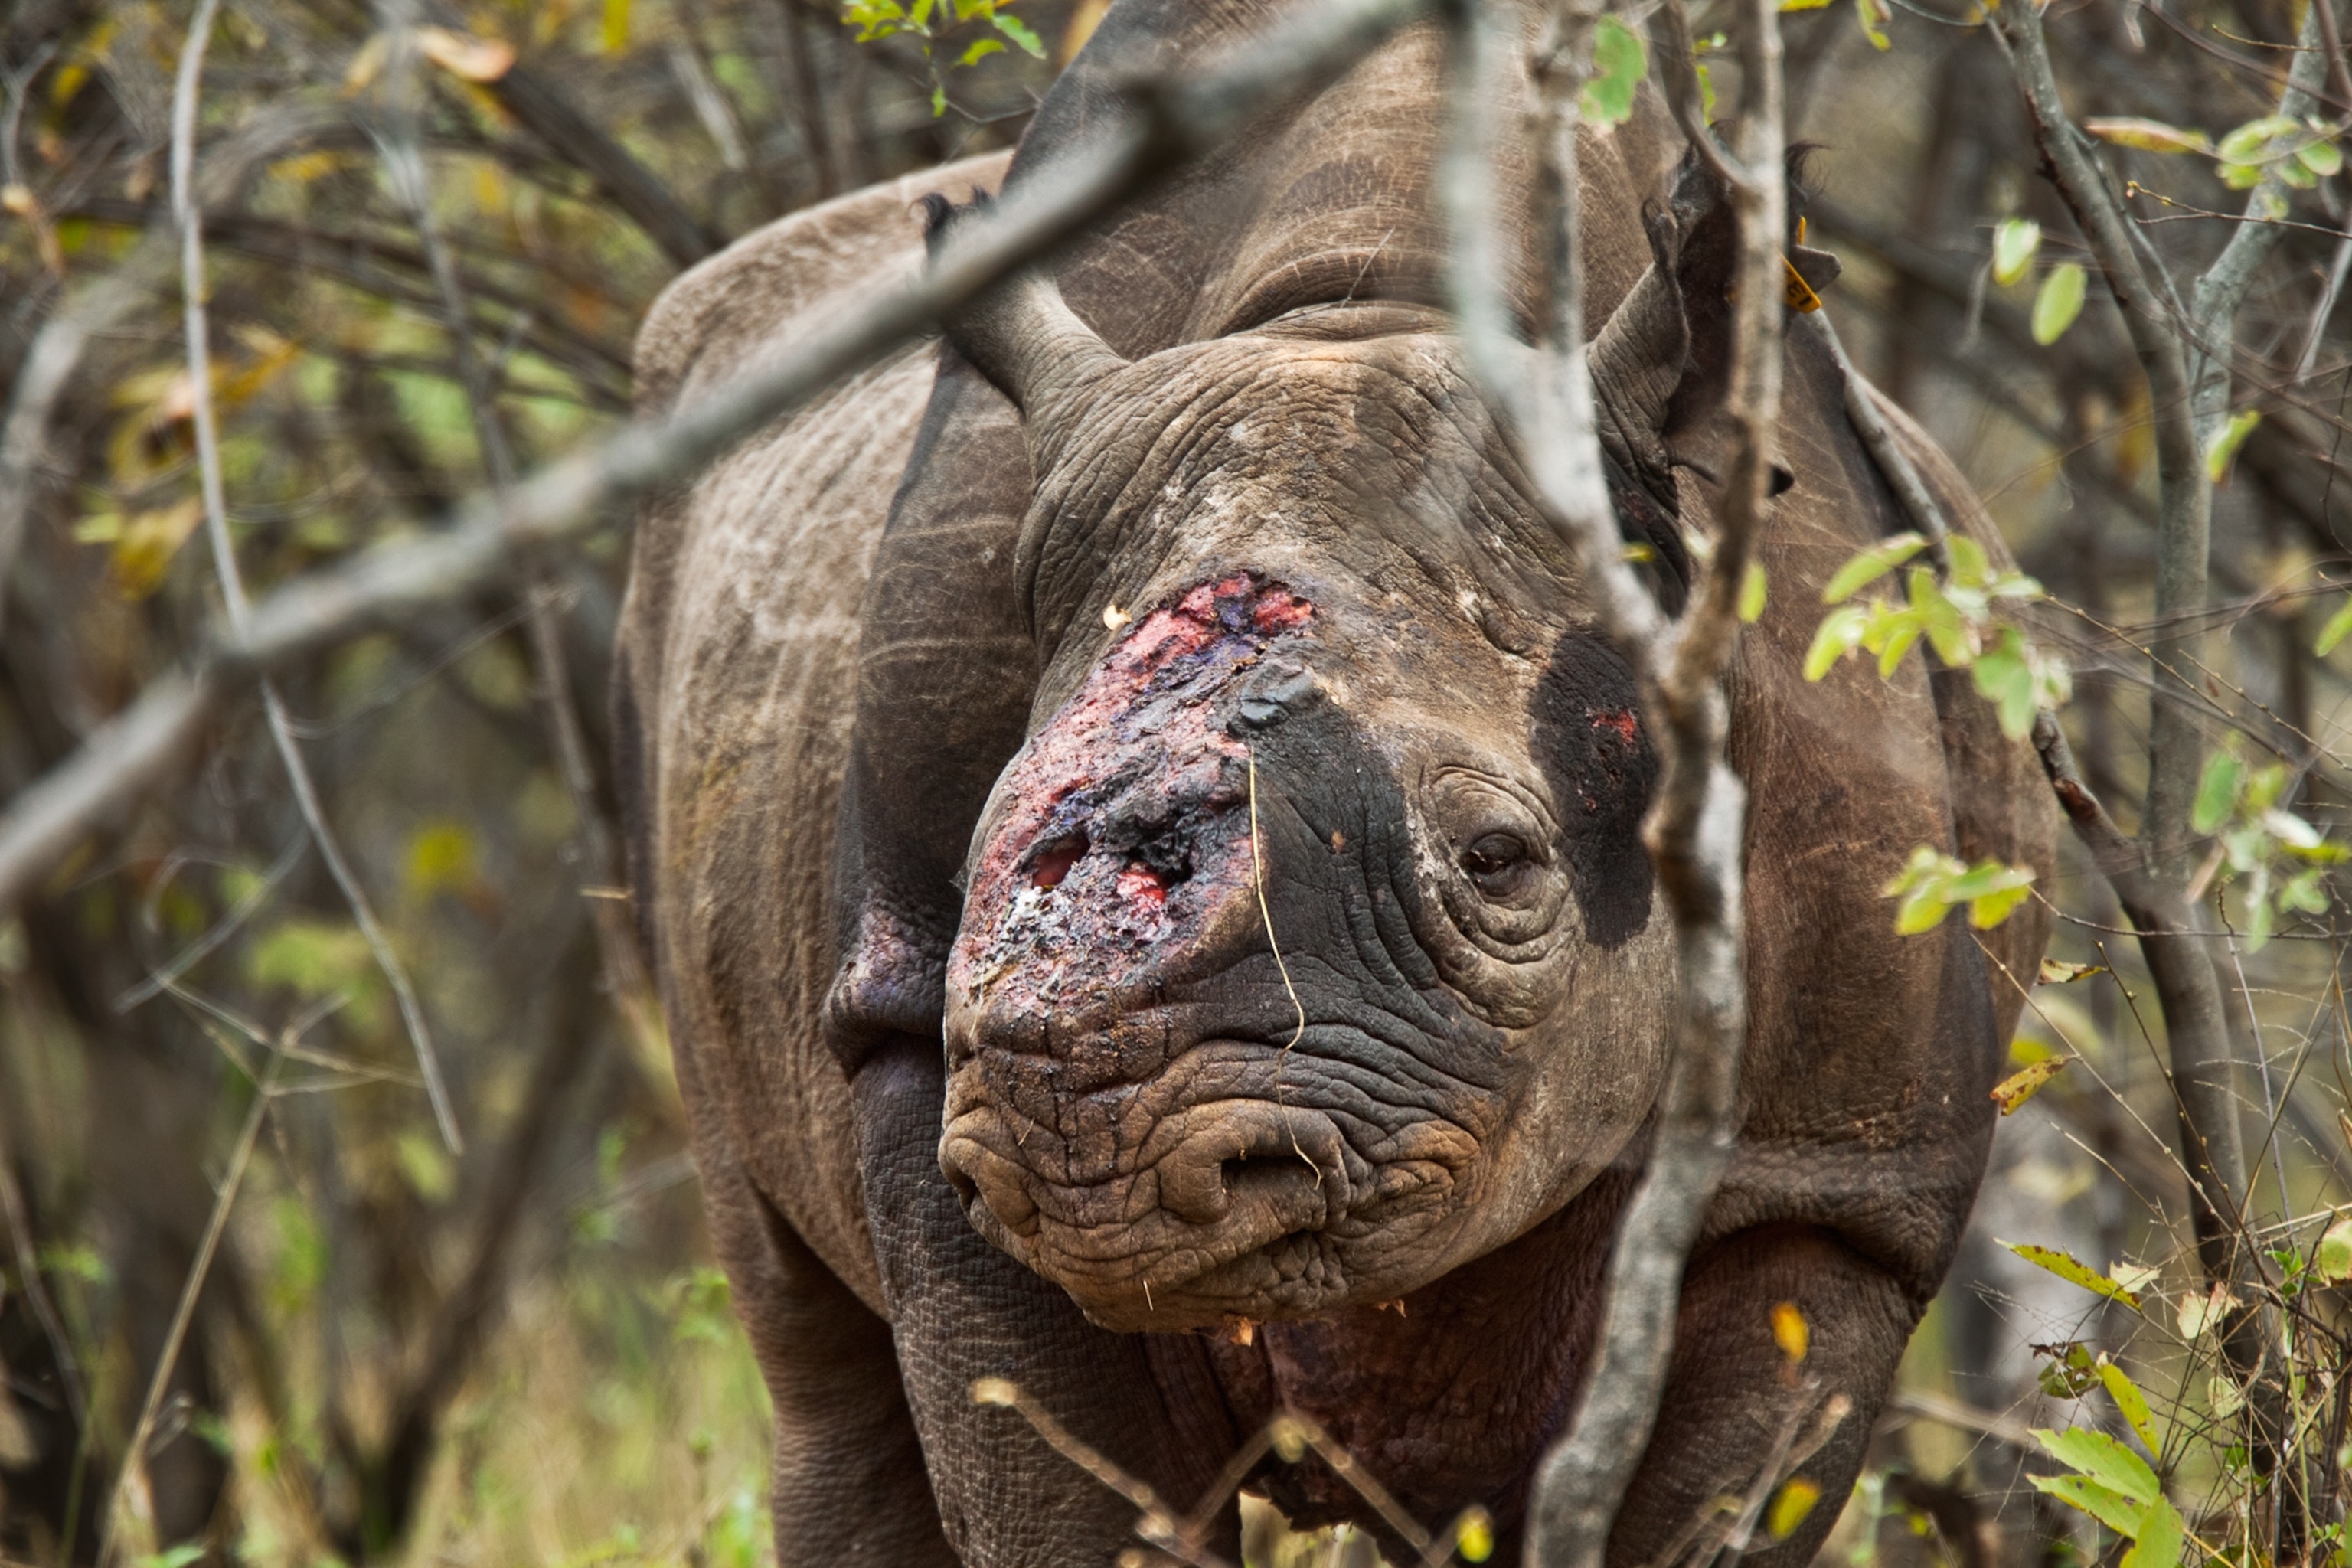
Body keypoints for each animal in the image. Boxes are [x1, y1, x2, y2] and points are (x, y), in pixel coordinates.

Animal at [612, 3, 2056, 1563]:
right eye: (988, 845)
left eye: (1496, 864)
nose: (1091, 1156)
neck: (1364, 311)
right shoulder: (910, 1050)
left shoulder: (1835, 1179)